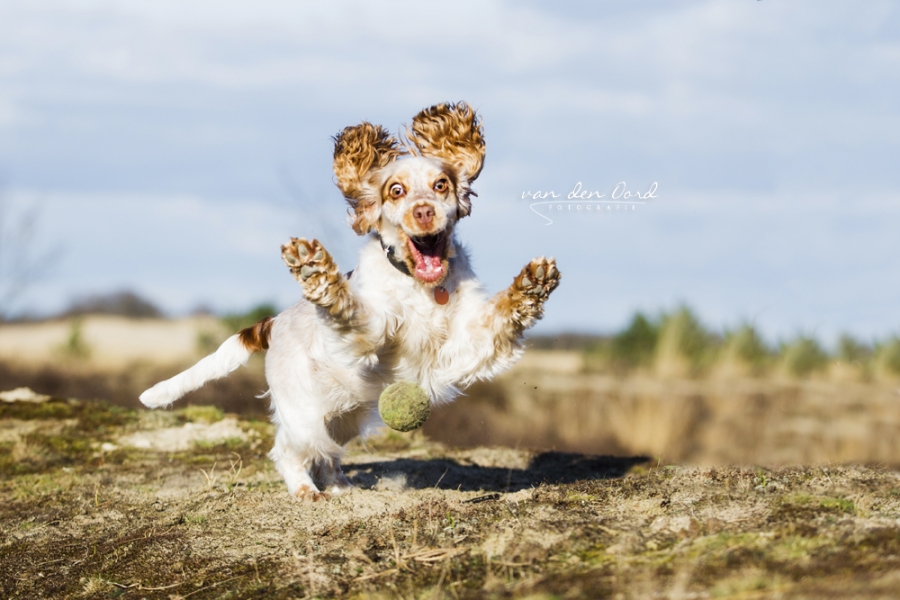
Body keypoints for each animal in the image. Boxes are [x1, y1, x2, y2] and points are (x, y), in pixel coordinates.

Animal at [140, 102, 560, 496]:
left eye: (440, 185)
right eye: (396, 190)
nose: (424, 212)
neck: (420, 286)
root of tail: (274, 322)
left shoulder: (463, 342)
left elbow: (498, 317)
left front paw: (531, 285)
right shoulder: (372, 330)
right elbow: (352, 308)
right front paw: (316, 271)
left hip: (345, 413)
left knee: (327, 451)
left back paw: (340, 485)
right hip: (303, 409)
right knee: (289, 449)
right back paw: (305, 490)